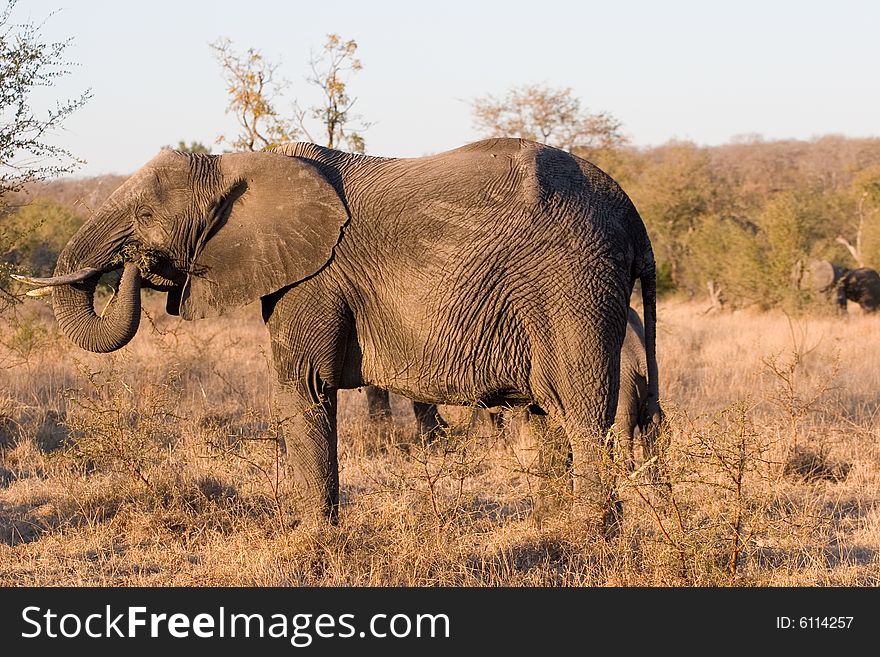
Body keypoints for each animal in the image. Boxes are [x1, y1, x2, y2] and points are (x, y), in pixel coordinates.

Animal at [15, 137, 660, 524]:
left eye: (147, 218)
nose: (135, 263)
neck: (241, 162)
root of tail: (631, 211)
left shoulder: (315, 277)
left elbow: (305, 387)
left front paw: (315, 540)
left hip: (573, 281)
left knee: (581, 409)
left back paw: (589, 533)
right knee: (545, 412)